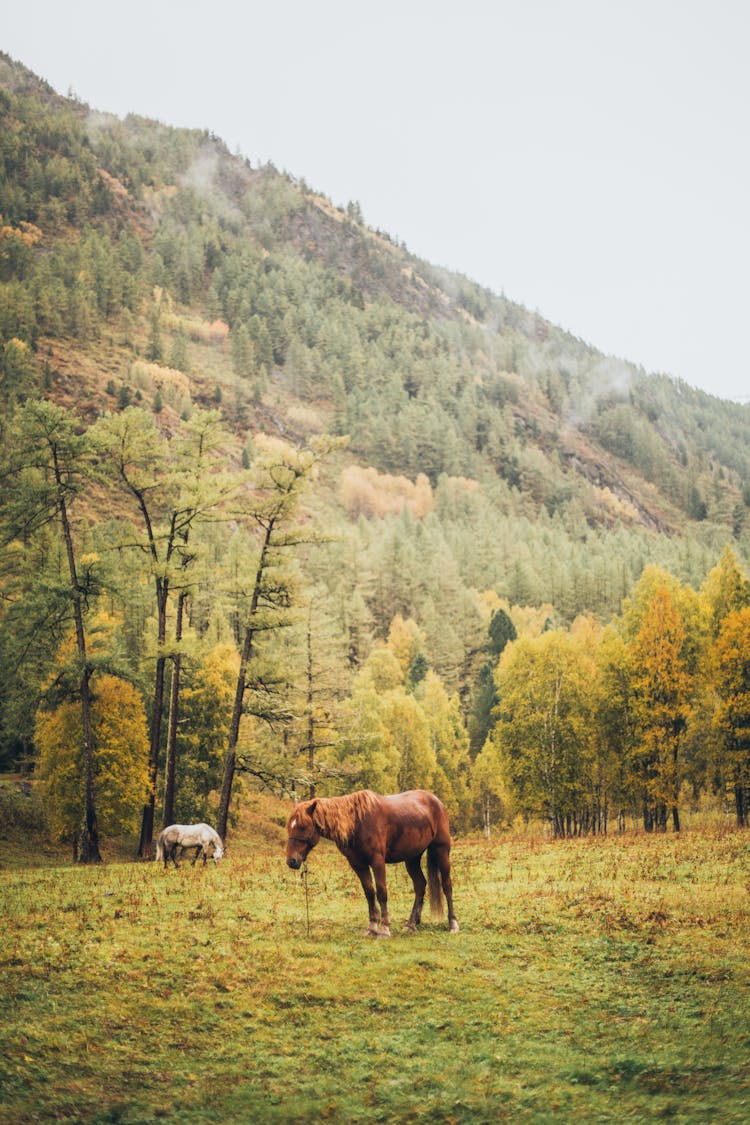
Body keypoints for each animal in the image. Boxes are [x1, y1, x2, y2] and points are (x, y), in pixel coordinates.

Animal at [284, 787, 458, 936]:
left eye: (303, 826)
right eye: (289, 827)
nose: (291, 861)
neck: (357, 823)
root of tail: (436, 801)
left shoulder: (377, 861)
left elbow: (381, 892)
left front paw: (385, 929)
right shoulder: (358, 865)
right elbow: (369, 893)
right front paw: (372, 928)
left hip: (441, 851)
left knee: (447, 885)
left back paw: (452, 924)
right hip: (412, 858)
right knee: (420, 885)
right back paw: (411, 924)